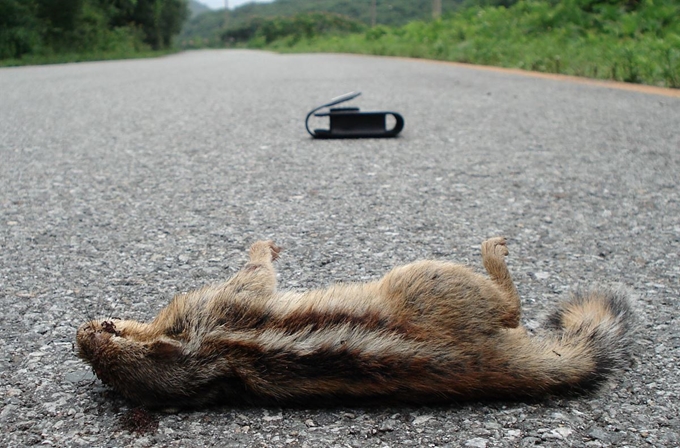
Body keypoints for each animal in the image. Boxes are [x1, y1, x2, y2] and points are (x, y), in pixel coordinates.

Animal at [77, 238, 636, 410]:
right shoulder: (222, 303)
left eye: (105, 327)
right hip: (427, 281)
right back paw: (493, 254)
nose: (81, 332)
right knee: (510, 307)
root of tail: (486, 363)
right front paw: (262, 248)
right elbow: (256, 275)